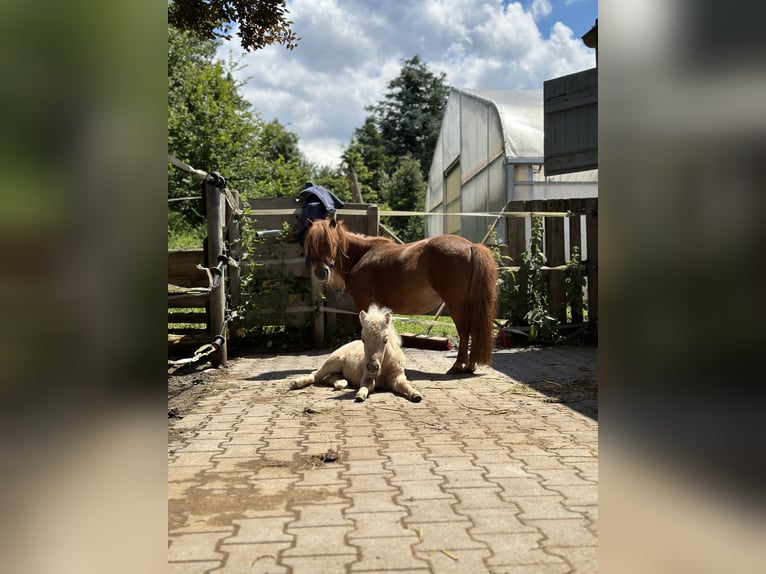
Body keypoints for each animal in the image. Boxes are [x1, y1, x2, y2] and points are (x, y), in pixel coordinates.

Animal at [288, 306, 424, 404]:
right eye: (363, 339)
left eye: (385, 340)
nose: (373, 367)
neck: (384, 367)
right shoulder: (367, 376)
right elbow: (368, 385)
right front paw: (360, 395)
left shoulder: (397, 376)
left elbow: (404, 384)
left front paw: (416, 395)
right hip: (332, 362)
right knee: (315, 375)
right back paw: (296, 383)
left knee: (329, 378)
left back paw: (339, 383)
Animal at [306, 218, 498, 376]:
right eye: (311, 244)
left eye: (331, 242)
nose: (321, 272)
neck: (360, 256)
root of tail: (471, 246)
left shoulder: (364, 302)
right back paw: (470, 365)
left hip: (455, 303)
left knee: (464, 330)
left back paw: (458, 365)